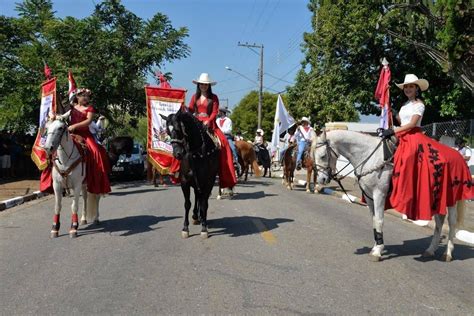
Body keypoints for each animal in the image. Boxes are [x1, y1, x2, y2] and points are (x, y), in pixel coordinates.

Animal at [159, 110, 218, 238]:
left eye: (178, 129)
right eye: (168, 132)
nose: (177, 154)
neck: (197, 154)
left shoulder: (208, 182)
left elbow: (204, 203)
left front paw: (204, 228)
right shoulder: (185, 182)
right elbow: (187, 203)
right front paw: (185, 228)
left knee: (201, 199)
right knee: (197, 197)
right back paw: (196, 216)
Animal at [312, 129, 464, 262]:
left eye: (323, 156)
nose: (321, 180)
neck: (369, 156)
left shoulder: (379, 194)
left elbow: (379, 221)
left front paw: (378, 252)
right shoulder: (369, 197)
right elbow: (374, 221)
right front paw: (375, 247)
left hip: (451, 199)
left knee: (451, 223)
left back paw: (447, 253)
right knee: (439, 222)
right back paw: (430, 250)